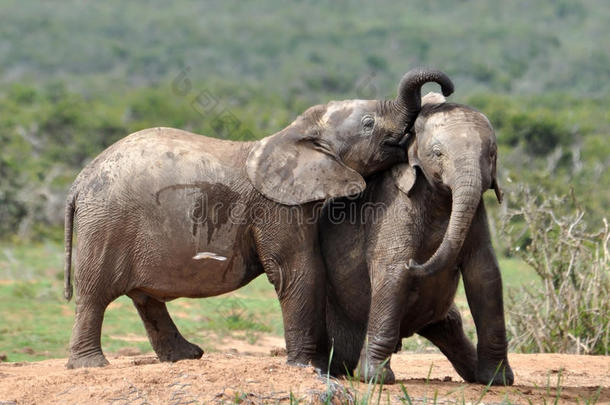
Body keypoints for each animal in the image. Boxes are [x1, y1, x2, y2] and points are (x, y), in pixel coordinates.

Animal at [61, 68, 452, 370]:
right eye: (369, 124)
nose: (445, 91)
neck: (294, 134)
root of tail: (79, 181)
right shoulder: (276, 206)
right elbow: (299, 270)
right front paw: (304, 367)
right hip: (106, 222)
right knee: (95, 293)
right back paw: (91, 365)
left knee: (145, 298)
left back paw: (187, 357)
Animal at [318, 92, 512, 386]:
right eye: (437, 153)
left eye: (492, 154)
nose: (417, 263)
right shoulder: (393, 203)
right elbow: (394, 272)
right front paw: (375, 379)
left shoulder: (477, 212)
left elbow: (484, 274)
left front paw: (497, 380)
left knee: (450, 324)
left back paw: (474, 374)